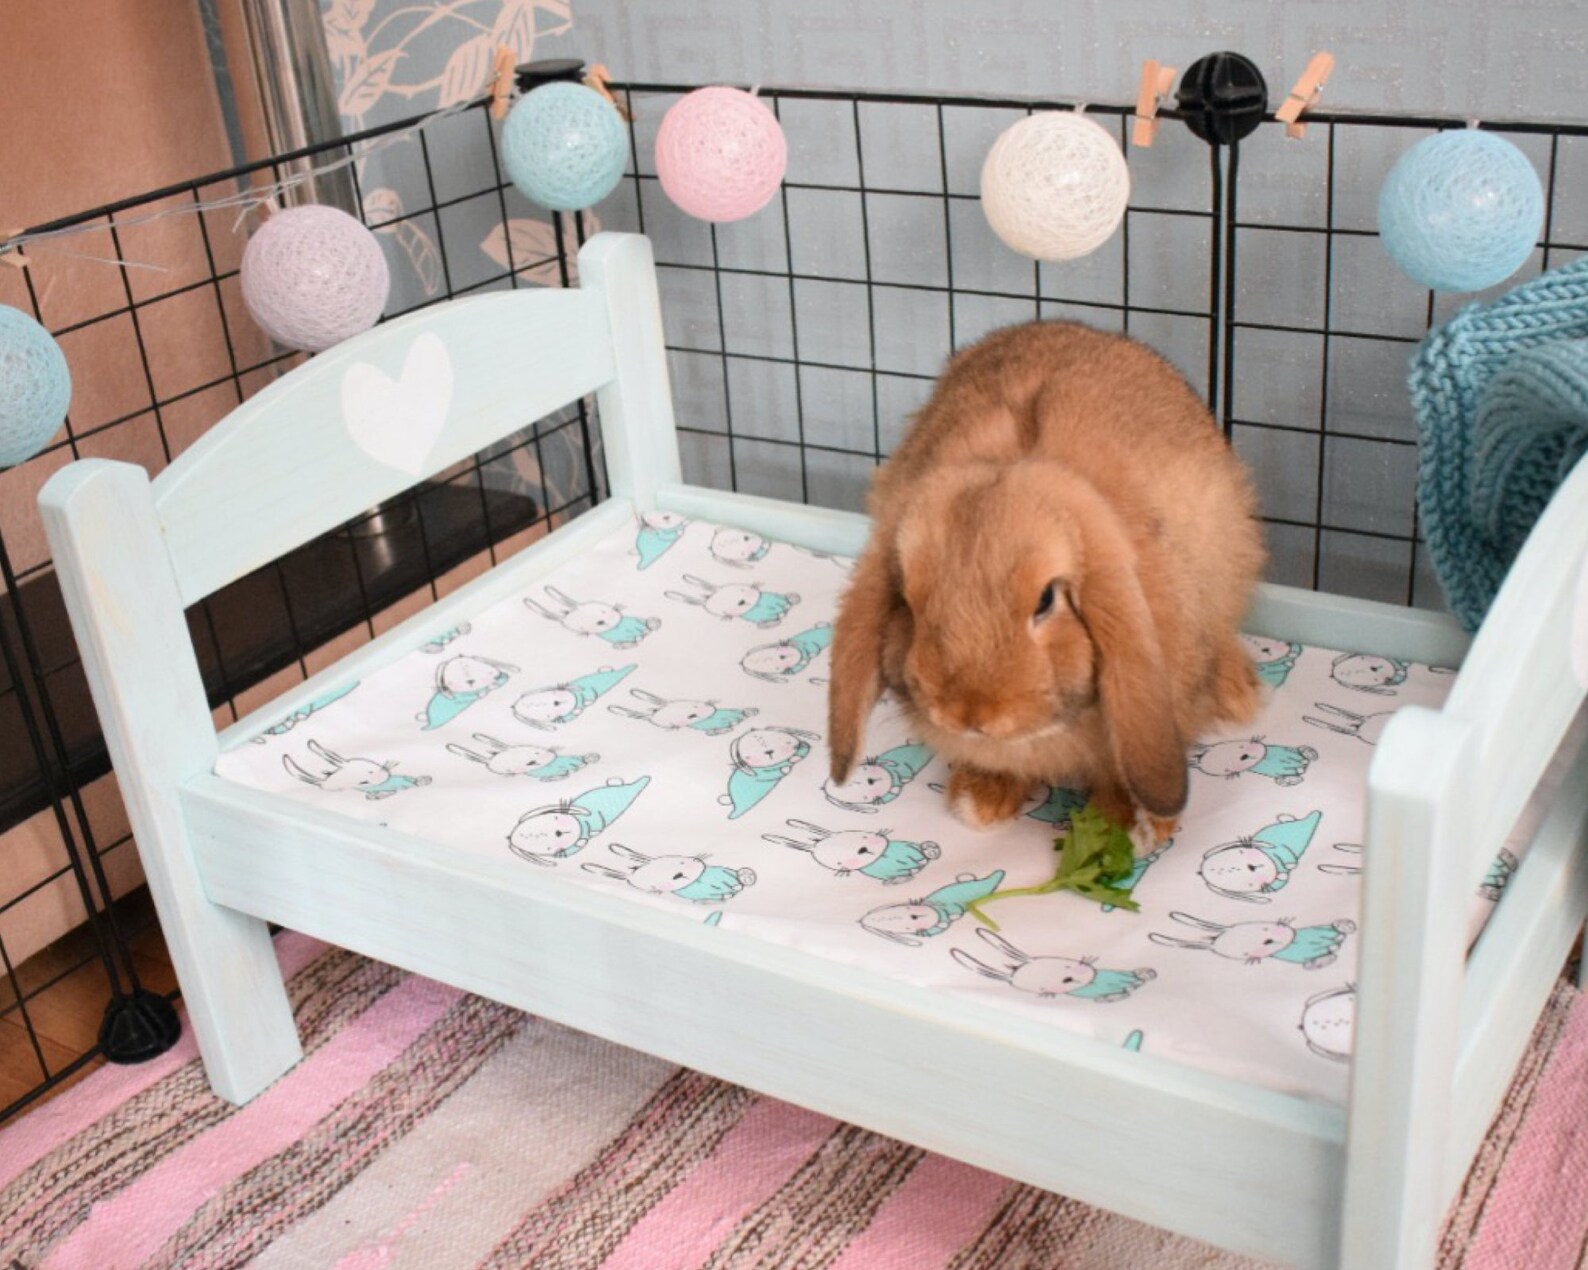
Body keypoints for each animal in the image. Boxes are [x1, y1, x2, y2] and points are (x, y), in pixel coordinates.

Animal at [827, 321, 1265, 843]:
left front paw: (1128, 827)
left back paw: (1240, 692)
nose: (970, 715)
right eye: (909, 602)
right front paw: (980, 799)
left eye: (1046, 601)